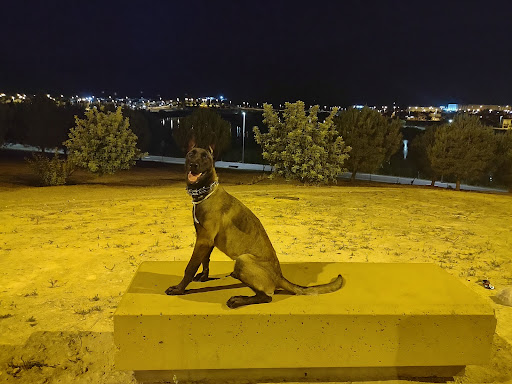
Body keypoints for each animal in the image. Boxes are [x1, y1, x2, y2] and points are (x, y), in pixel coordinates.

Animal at [166, 147, 344, 308]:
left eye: (205, 157)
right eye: (191, 154)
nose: (193, 165)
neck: (205, 192)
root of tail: (279, 276)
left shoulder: (204, 239)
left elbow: (190, 267)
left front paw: (179, 289)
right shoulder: (204, 238)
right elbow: (205, 260)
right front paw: (203, 277)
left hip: (243, 260)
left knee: (266, 297)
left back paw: (239, 300)